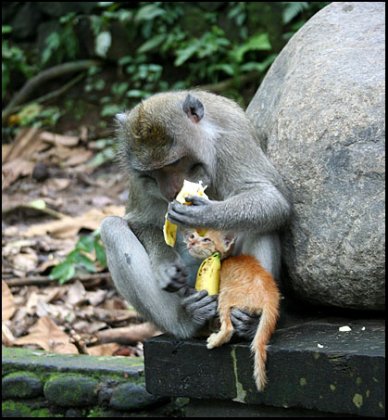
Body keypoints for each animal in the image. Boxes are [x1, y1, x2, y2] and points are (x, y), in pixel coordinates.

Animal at [184, 230, 278, 390]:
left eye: (206, 240)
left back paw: (214, 341)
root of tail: (270, 296)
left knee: (228, 328)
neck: (225, 259)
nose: (191, 242)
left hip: (225, 295)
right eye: (193, 236)